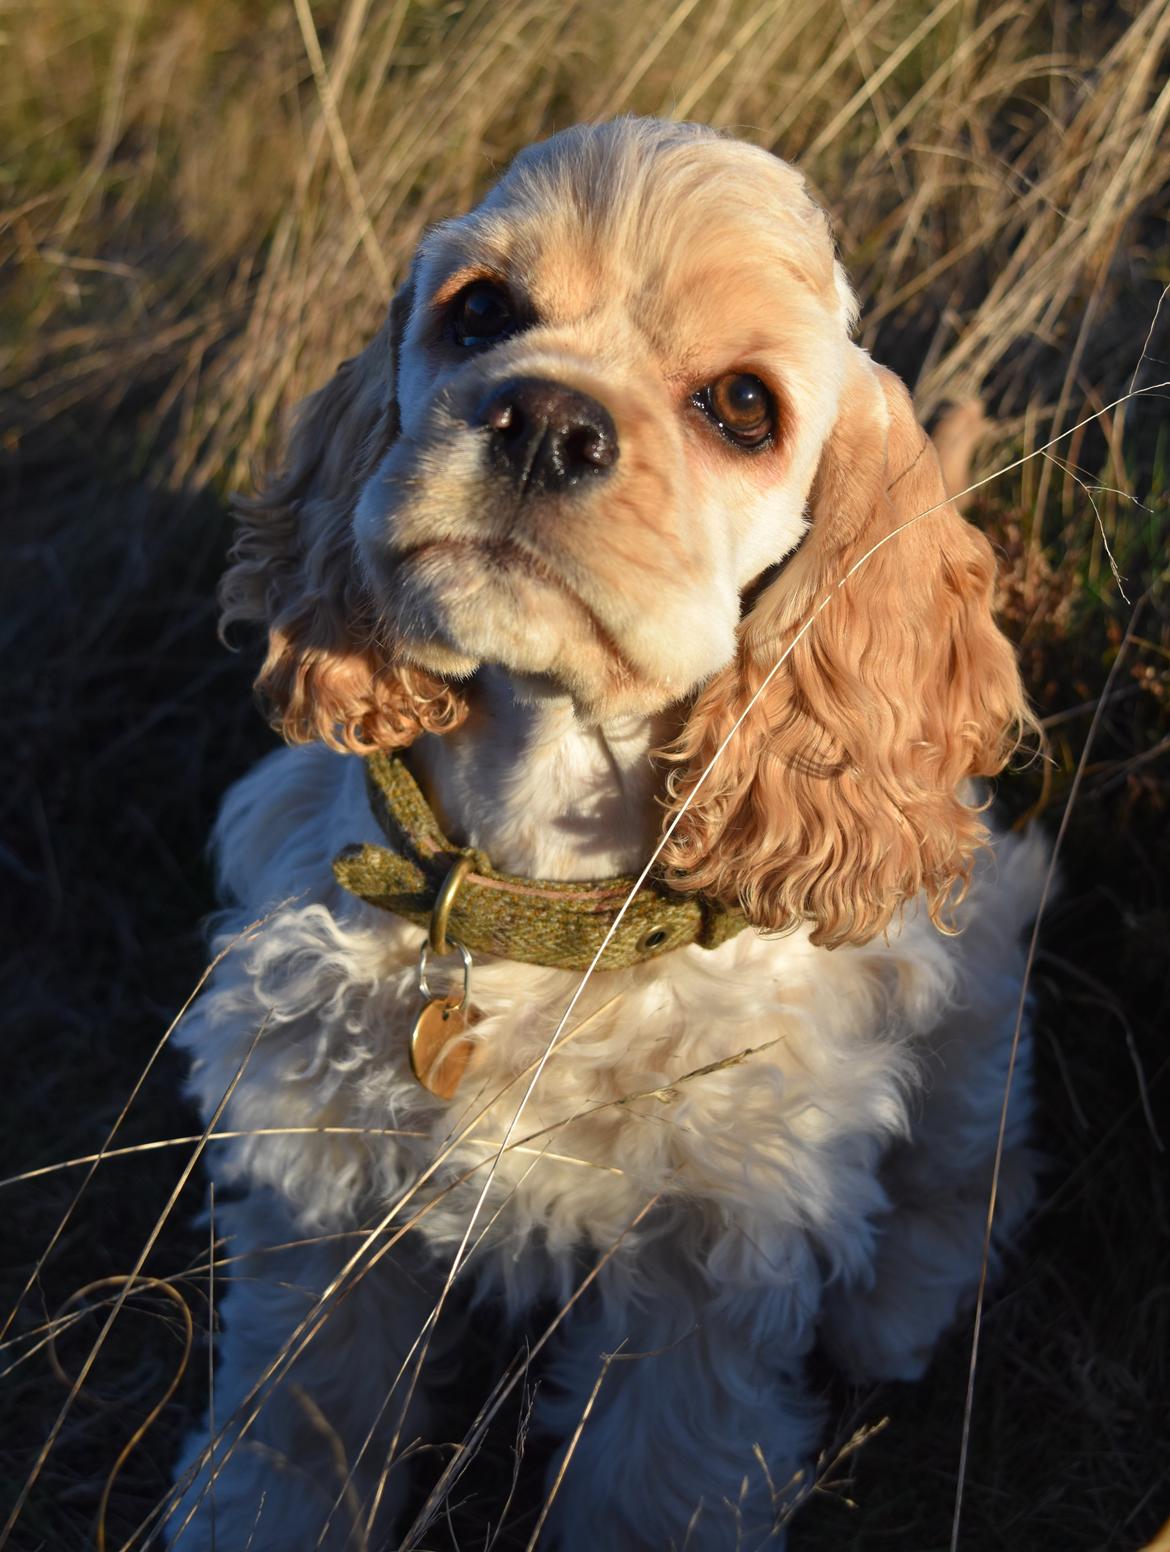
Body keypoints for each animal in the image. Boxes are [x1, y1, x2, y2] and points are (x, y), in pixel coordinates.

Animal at [166, 114, 1036, 1545]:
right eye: (480, 311)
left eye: (743, 404)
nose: (546, 420)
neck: (536, 878)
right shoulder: (317, 1160)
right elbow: (304, 1410)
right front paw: (257, 1512)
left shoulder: (712, 1246)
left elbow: (653, 1477)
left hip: (986, 958)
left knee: (971, 1151)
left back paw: (902, 1301)